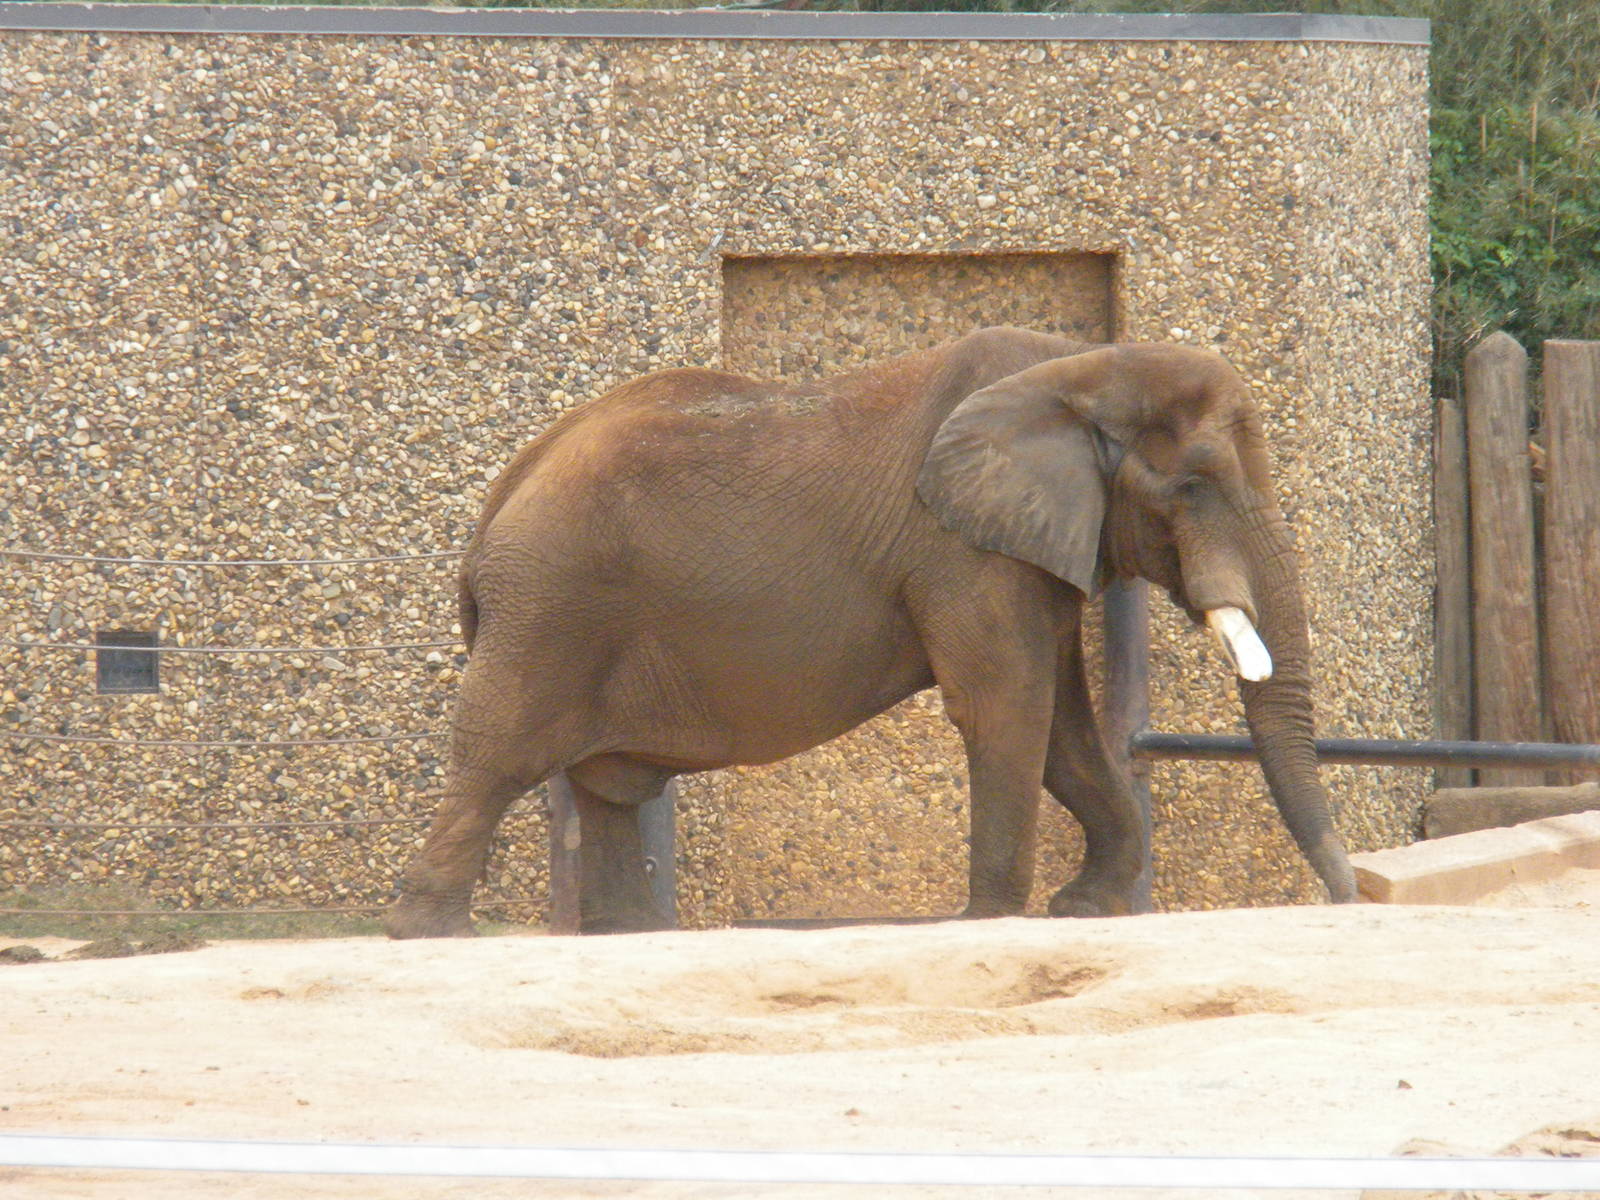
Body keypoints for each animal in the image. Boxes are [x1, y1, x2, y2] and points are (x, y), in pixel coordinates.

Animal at [385, 326, 1356, 937]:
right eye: (1193, 486)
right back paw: (428, 931)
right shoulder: (960, 549)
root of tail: (505, 491)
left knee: (607, 790)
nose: (1350, 899)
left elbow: (1062, 722)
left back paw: (622, 935)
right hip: (549, 609)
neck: (1082, 365)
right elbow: (1007, 705)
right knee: (498, 755)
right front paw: (991, 920)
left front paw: (1086, 909)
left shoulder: (1029, 544)